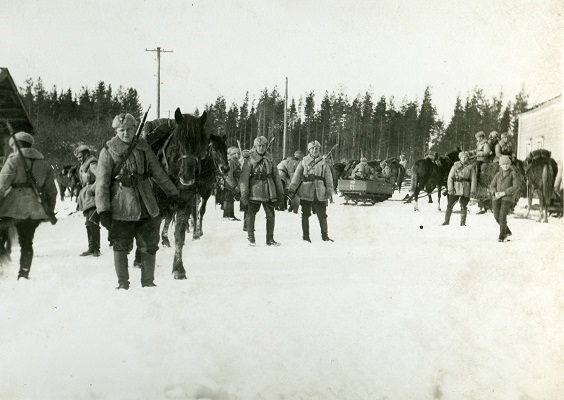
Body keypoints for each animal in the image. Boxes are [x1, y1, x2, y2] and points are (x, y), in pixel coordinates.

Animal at [149, 108, 230, 280]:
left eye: (200, 145)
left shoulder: (196, 195)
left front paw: (179, 268)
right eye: (213, 149)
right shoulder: (158, 202)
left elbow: (184, 228)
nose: (225, 168)